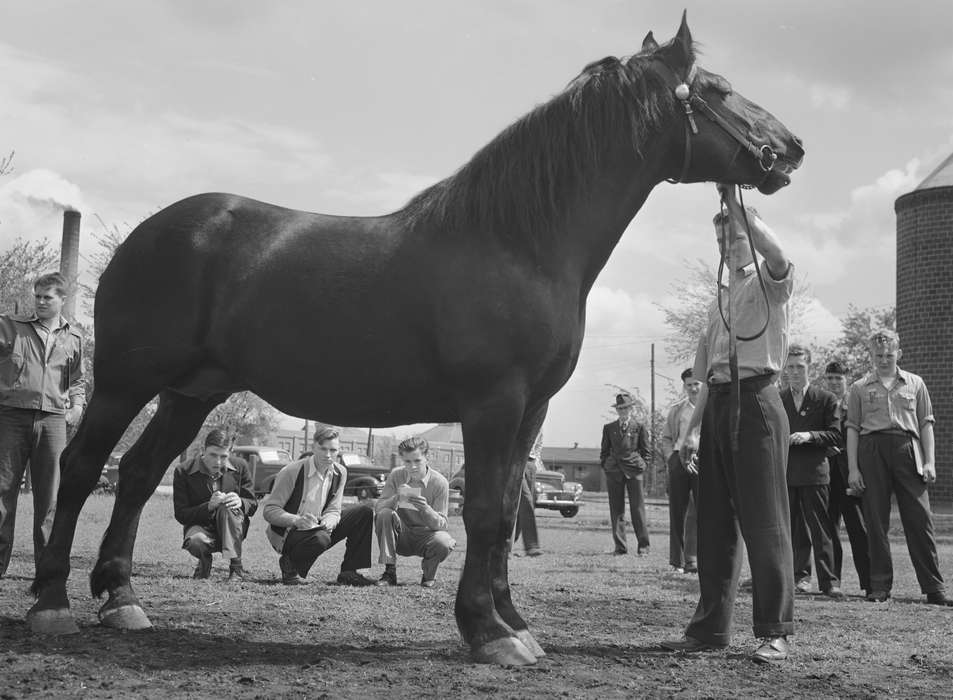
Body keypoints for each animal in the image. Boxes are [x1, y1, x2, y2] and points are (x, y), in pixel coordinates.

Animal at [27, 13, 804, 664]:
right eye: (718, 89)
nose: (792, 148)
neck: (518, 242)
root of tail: (150, 232)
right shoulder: (492, 404)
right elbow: (485, 513)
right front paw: (490, 634)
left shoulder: (530, 411)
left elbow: (501, 518)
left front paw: (513, 625)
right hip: (126, 382)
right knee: (84, 468)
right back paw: (52, 602)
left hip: (191, 392)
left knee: (135, 476)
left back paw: (122, 600)